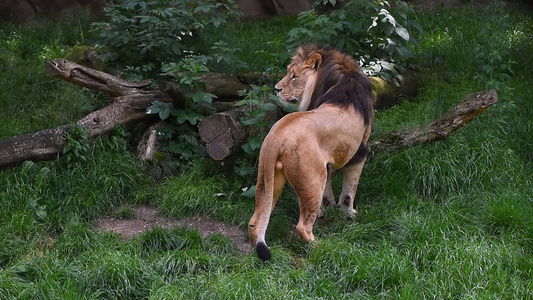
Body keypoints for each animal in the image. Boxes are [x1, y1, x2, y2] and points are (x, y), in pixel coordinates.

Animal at [247, 44, 372, 260]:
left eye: (294, 76)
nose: (277, 89)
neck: (342, 78)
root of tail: (277, 136)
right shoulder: (359, 151)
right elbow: (350, 190)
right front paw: (348, 213)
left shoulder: (327, 162)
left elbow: (328, 194)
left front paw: (328, 209)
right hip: (313, 178)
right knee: (302, 226)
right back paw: (321, 247)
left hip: (269, 178)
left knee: (256, 220)